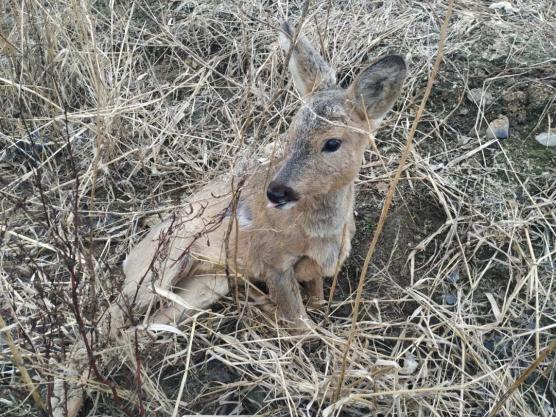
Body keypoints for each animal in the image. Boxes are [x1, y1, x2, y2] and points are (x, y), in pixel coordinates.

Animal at [108, 22, 406, 334]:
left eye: (332, 143)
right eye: (291, 130)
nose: (276, 191)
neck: (320, 233)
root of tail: (129, 261)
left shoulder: (315, 270)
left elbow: (317, 302)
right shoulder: (273, 263)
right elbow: (302, 326)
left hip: (209, 285)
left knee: (149, 324)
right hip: (163, 265)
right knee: (114, 317)